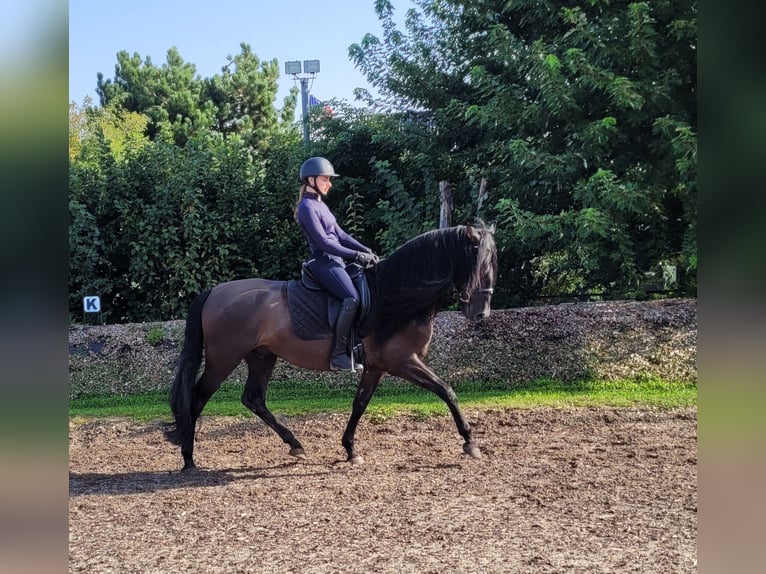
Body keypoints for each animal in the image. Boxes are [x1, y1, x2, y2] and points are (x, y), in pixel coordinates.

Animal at [165, 223, 498, 470]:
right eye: (479, 264)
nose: (481, 314)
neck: (392, 298)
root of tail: (214, 292)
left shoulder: (376, 367)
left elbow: (359, 405)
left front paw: (350, 450)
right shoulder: (403, 361)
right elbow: (446, 390)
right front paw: (470, 442)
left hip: (261, 356)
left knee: (253, 399)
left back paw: (295, 445)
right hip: (223, 359)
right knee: (196, 398)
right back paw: (189, 459)